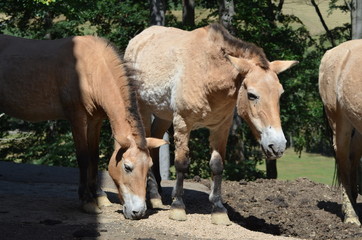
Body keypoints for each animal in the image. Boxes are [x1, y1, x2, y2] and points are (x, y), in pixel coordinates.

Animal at [0, 34, 167, 220]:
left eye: (149, 166)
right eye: (127, 167)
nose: (139, 212)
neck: (91, 69)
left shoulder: (95, 120)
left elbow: (94, 156)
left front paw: (99, 196)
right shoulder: (78, 119)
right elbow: (84, 158)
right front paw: (87, 200)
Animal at [126, 23, 298, 224]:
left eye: (280, 94)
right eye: (252, 95)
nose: (277, 146)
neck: (207, 72)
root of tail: (138, 39)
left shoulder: (220, 128)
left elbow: (217, 165)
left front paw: (218, 209)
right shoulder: (183, 124)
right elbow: (181, 163)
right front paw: (178, 206)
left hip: (164, 116)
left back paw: (157, 193)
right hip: (143, 110)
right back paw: (153, 196)